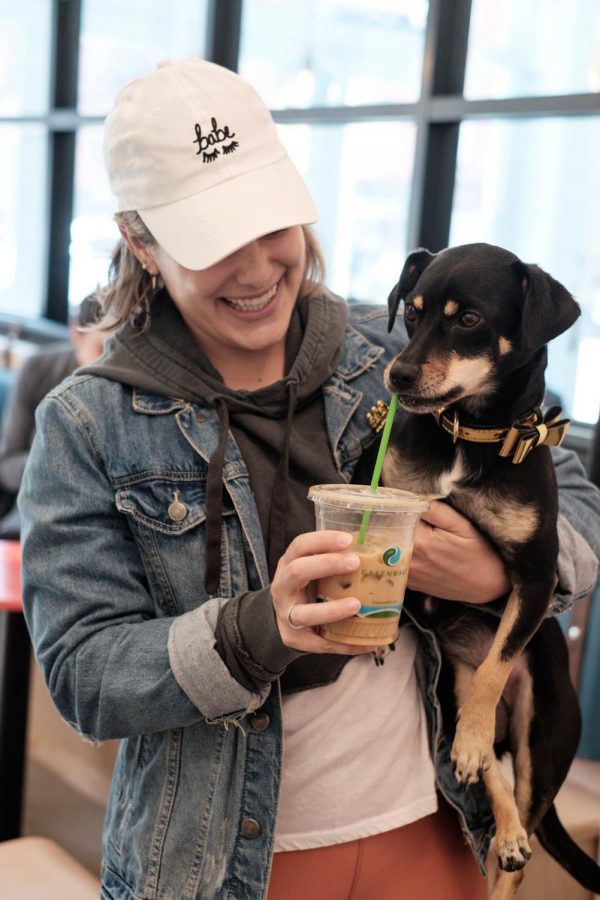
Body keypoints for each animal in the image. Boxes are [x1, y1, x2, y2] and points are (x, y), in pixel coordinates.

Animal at [384, 243, 600, 896]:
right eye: (412, 311)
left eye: (470, 320)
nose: (398, 377)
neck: (471, 434)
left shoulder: (535, 579)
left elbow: (497, 663)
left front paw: (478, 733)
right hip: (447, 687)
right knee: (483, 775)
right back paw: (495, 809)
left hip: (543, 736)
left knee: (521, 817)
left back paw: (506, 836)